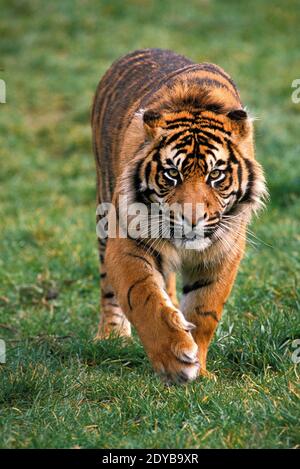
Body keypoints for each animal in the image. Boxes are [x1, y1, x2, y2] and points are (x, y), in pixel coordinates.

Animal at [91, 49, 268, 382]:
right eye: (172, 173)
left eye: (216, 174)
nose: (192, 219)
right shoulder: (127, 242)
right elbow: (142, 295)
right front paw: (175, 360)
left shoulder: (224, 251)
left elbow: (204, 310)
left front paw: (200, 368)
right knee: (109, 288)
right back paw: (111, 336)